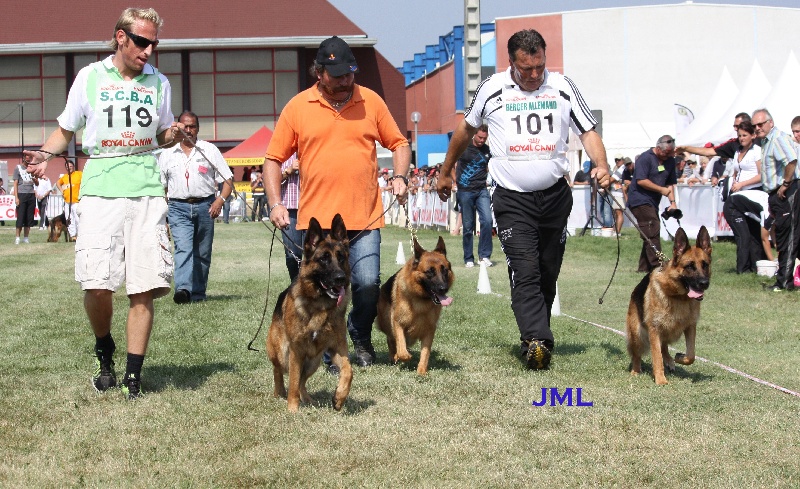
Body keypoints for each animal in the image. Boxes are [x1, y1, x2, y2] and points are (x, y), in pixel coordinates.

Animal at [268, 214, 352, 412]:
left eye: (341, 257)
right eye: (323, 259)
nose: (340, 278)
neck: (321, 305)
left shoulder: (337, 347)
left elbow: (348, 370)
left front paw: (339, 397)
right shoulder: (296, 350)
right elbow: (292, 380)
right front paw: (292, 409)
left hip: (314, 361)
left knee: (302, 381)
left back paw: (307, 399)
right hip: (282, 352)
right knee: (280, 372)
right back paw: (279, 393)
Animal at [376, 236, 454, 374]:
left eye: (444, 270)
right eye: (429, 272)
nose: (443, 289)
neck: (421, 300)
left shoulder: (429, 330)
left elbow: (425, 353)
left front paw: (421, 371)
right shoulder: (397, 323)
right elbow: (401, 347)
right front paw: (403, 356)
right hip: (387, 322)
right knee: (391, 339)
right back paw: (393, 356)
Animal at [624, 226, 712, 386]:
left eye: (705, 265)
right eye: (689, 266)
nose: (704, 283)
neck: (679, 297)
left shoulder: (690, 327)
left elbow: (691, 355)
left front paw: (679, 357)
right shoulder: (654, 329)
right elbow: (656, 357)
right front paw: (660, 380)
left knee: (664, 346)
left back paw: (670, 360)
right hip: (637, 333)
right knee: (637, 354)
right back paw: (636, 370)